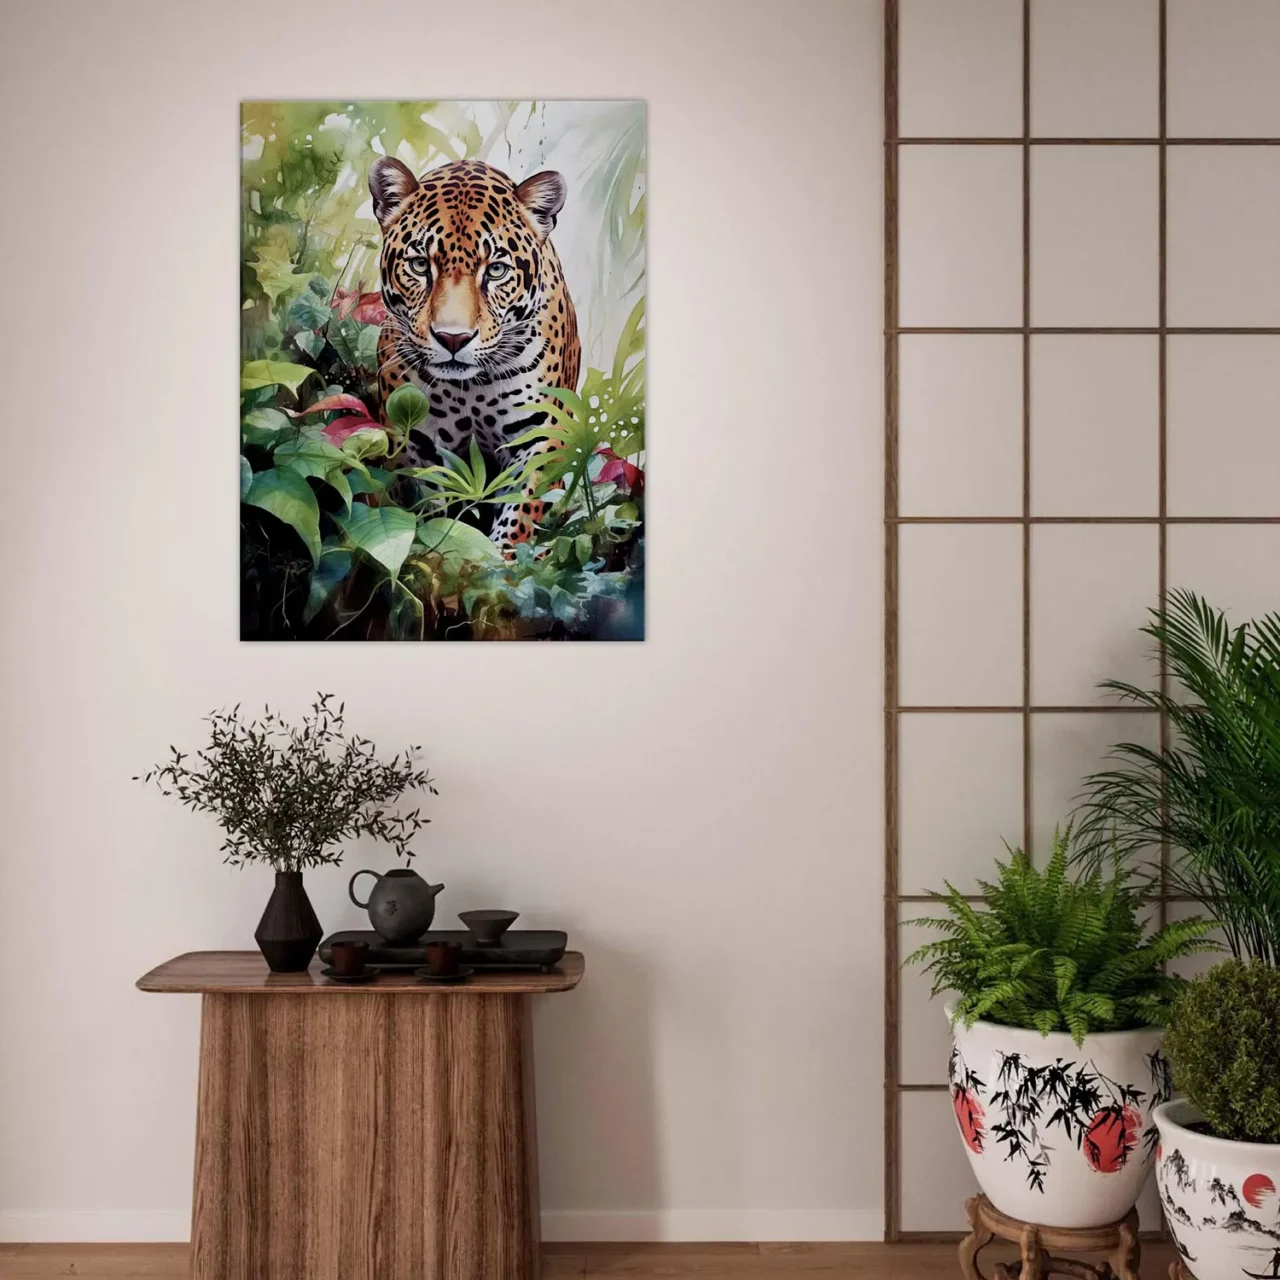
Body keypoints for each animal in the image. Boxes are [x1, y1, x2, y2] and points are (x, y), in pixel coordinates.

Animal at [368, 155, 580, 550]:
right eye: (420, 265)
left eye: (496, 270)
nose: (453, 339)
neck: (472, 389)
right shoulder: (415, 438)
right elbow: (430, 503)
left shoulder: (542, 435)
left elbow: (520, 513)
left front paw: (501, 558)